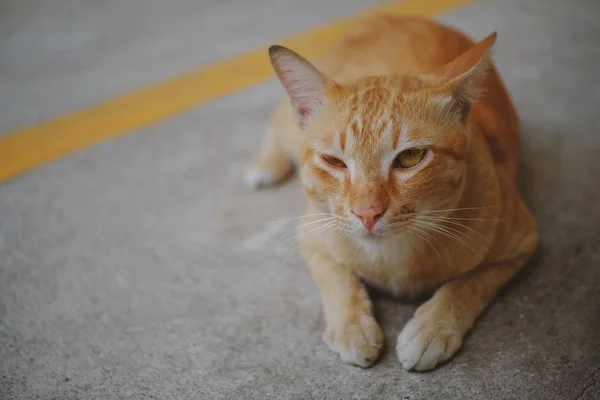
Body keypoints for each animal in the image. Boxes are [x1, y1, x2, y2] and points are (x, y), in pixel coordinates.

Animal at [244, 15, 540, 372]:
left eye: (410, 158)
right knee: (276, 120)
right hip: (289, 127)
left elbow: (469, 284)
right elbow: (338, 280)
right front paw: (352, 326)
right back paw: (265, 163)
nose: (367, 213)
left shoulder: (522, 241)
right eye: (333, 161)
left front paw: (432, 327)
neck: (392, 257)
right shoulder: (312, 236)